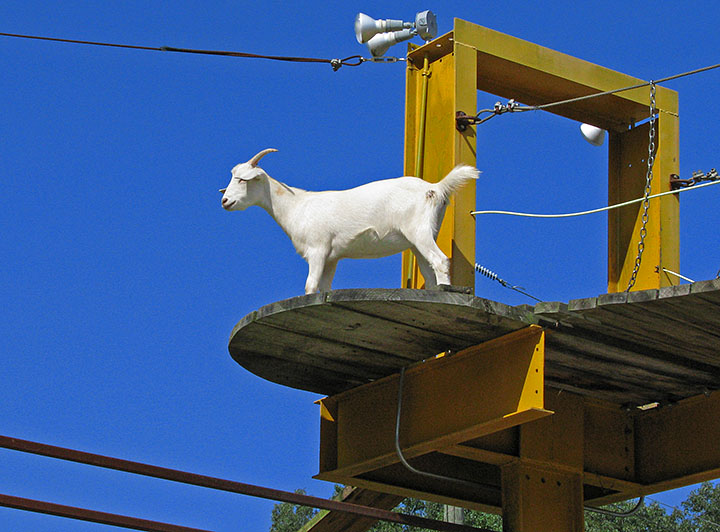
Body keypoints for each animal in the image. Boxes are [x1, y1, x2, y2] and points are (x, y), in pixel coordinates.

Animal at [219, 148, 478, 294]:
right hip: (420, 238)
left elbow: (310, 285)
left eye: (242, 179)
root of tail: (435, 188)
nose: (225, 201)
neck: (297, 206)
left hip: (419, 231)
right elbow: (323, 287)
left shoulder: (317, 249)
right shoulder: (331, 257)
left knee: (441, 261)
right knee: (429, 270)